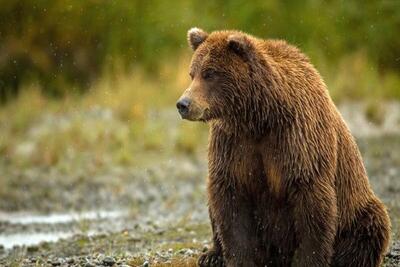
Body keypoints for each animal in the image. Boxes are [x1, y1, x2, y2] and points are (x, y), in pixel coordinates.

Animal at [176, 27, 390, 267]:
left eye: (210, 73)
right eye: (192, 73)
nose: (183, 104)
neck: (259, 117)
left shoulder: (298, 139)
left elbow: (311, 202)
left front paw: (308, 260)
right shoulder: (233, 144)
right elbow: (230, 198)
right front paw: (238, 258)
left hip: (357, 210)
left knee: (370, 226)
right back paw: (211, 255)